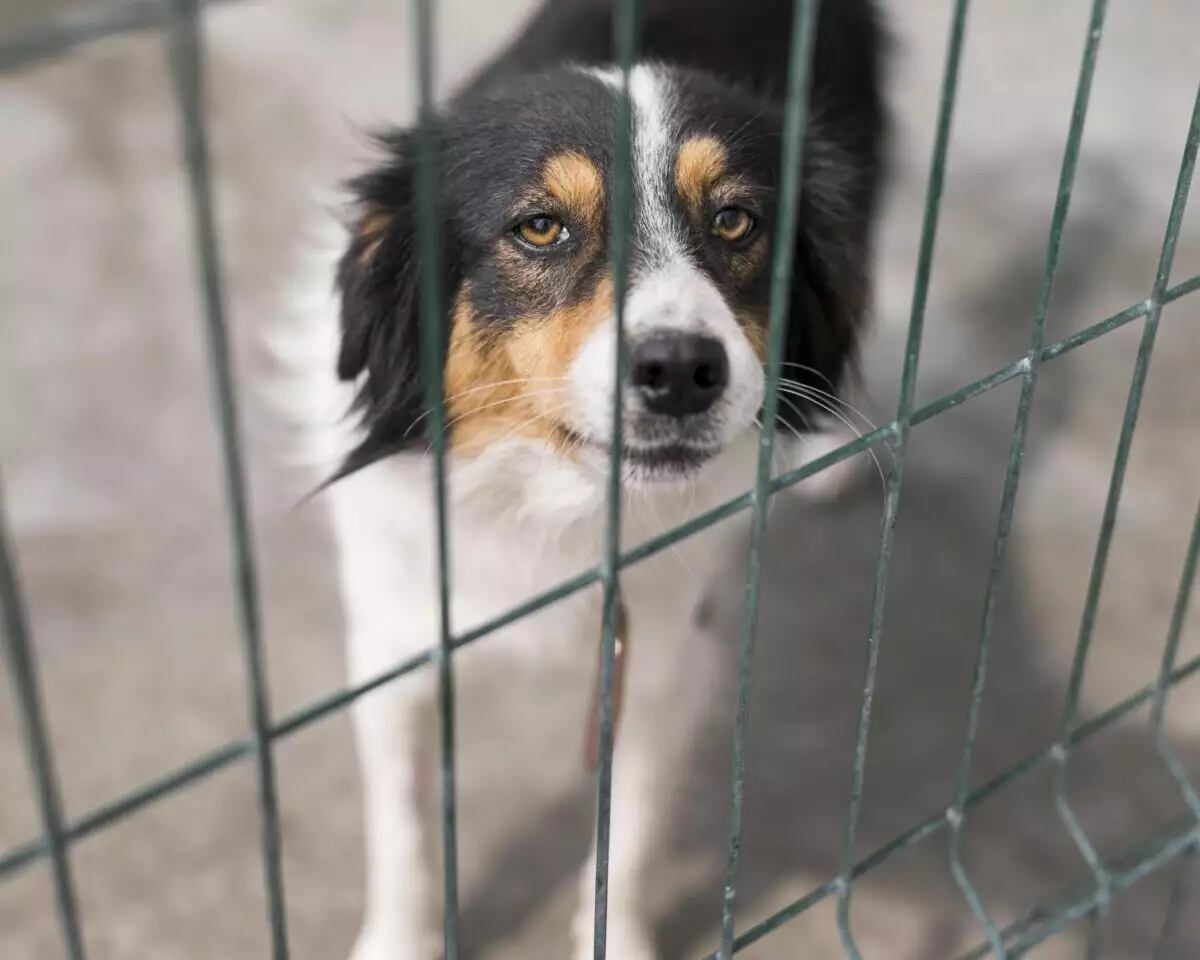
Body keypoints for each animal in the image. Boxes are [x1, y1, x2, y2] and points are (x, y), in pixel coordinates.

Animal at [280, 3, 883, 955]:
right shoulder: (394, 639)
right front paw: (399, 941)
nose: (681, 371)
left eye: (736, 221)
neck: (552, 496)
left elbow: (628, 838)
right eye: (540, 227)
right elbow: (405, 829)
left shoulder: (663, 659)